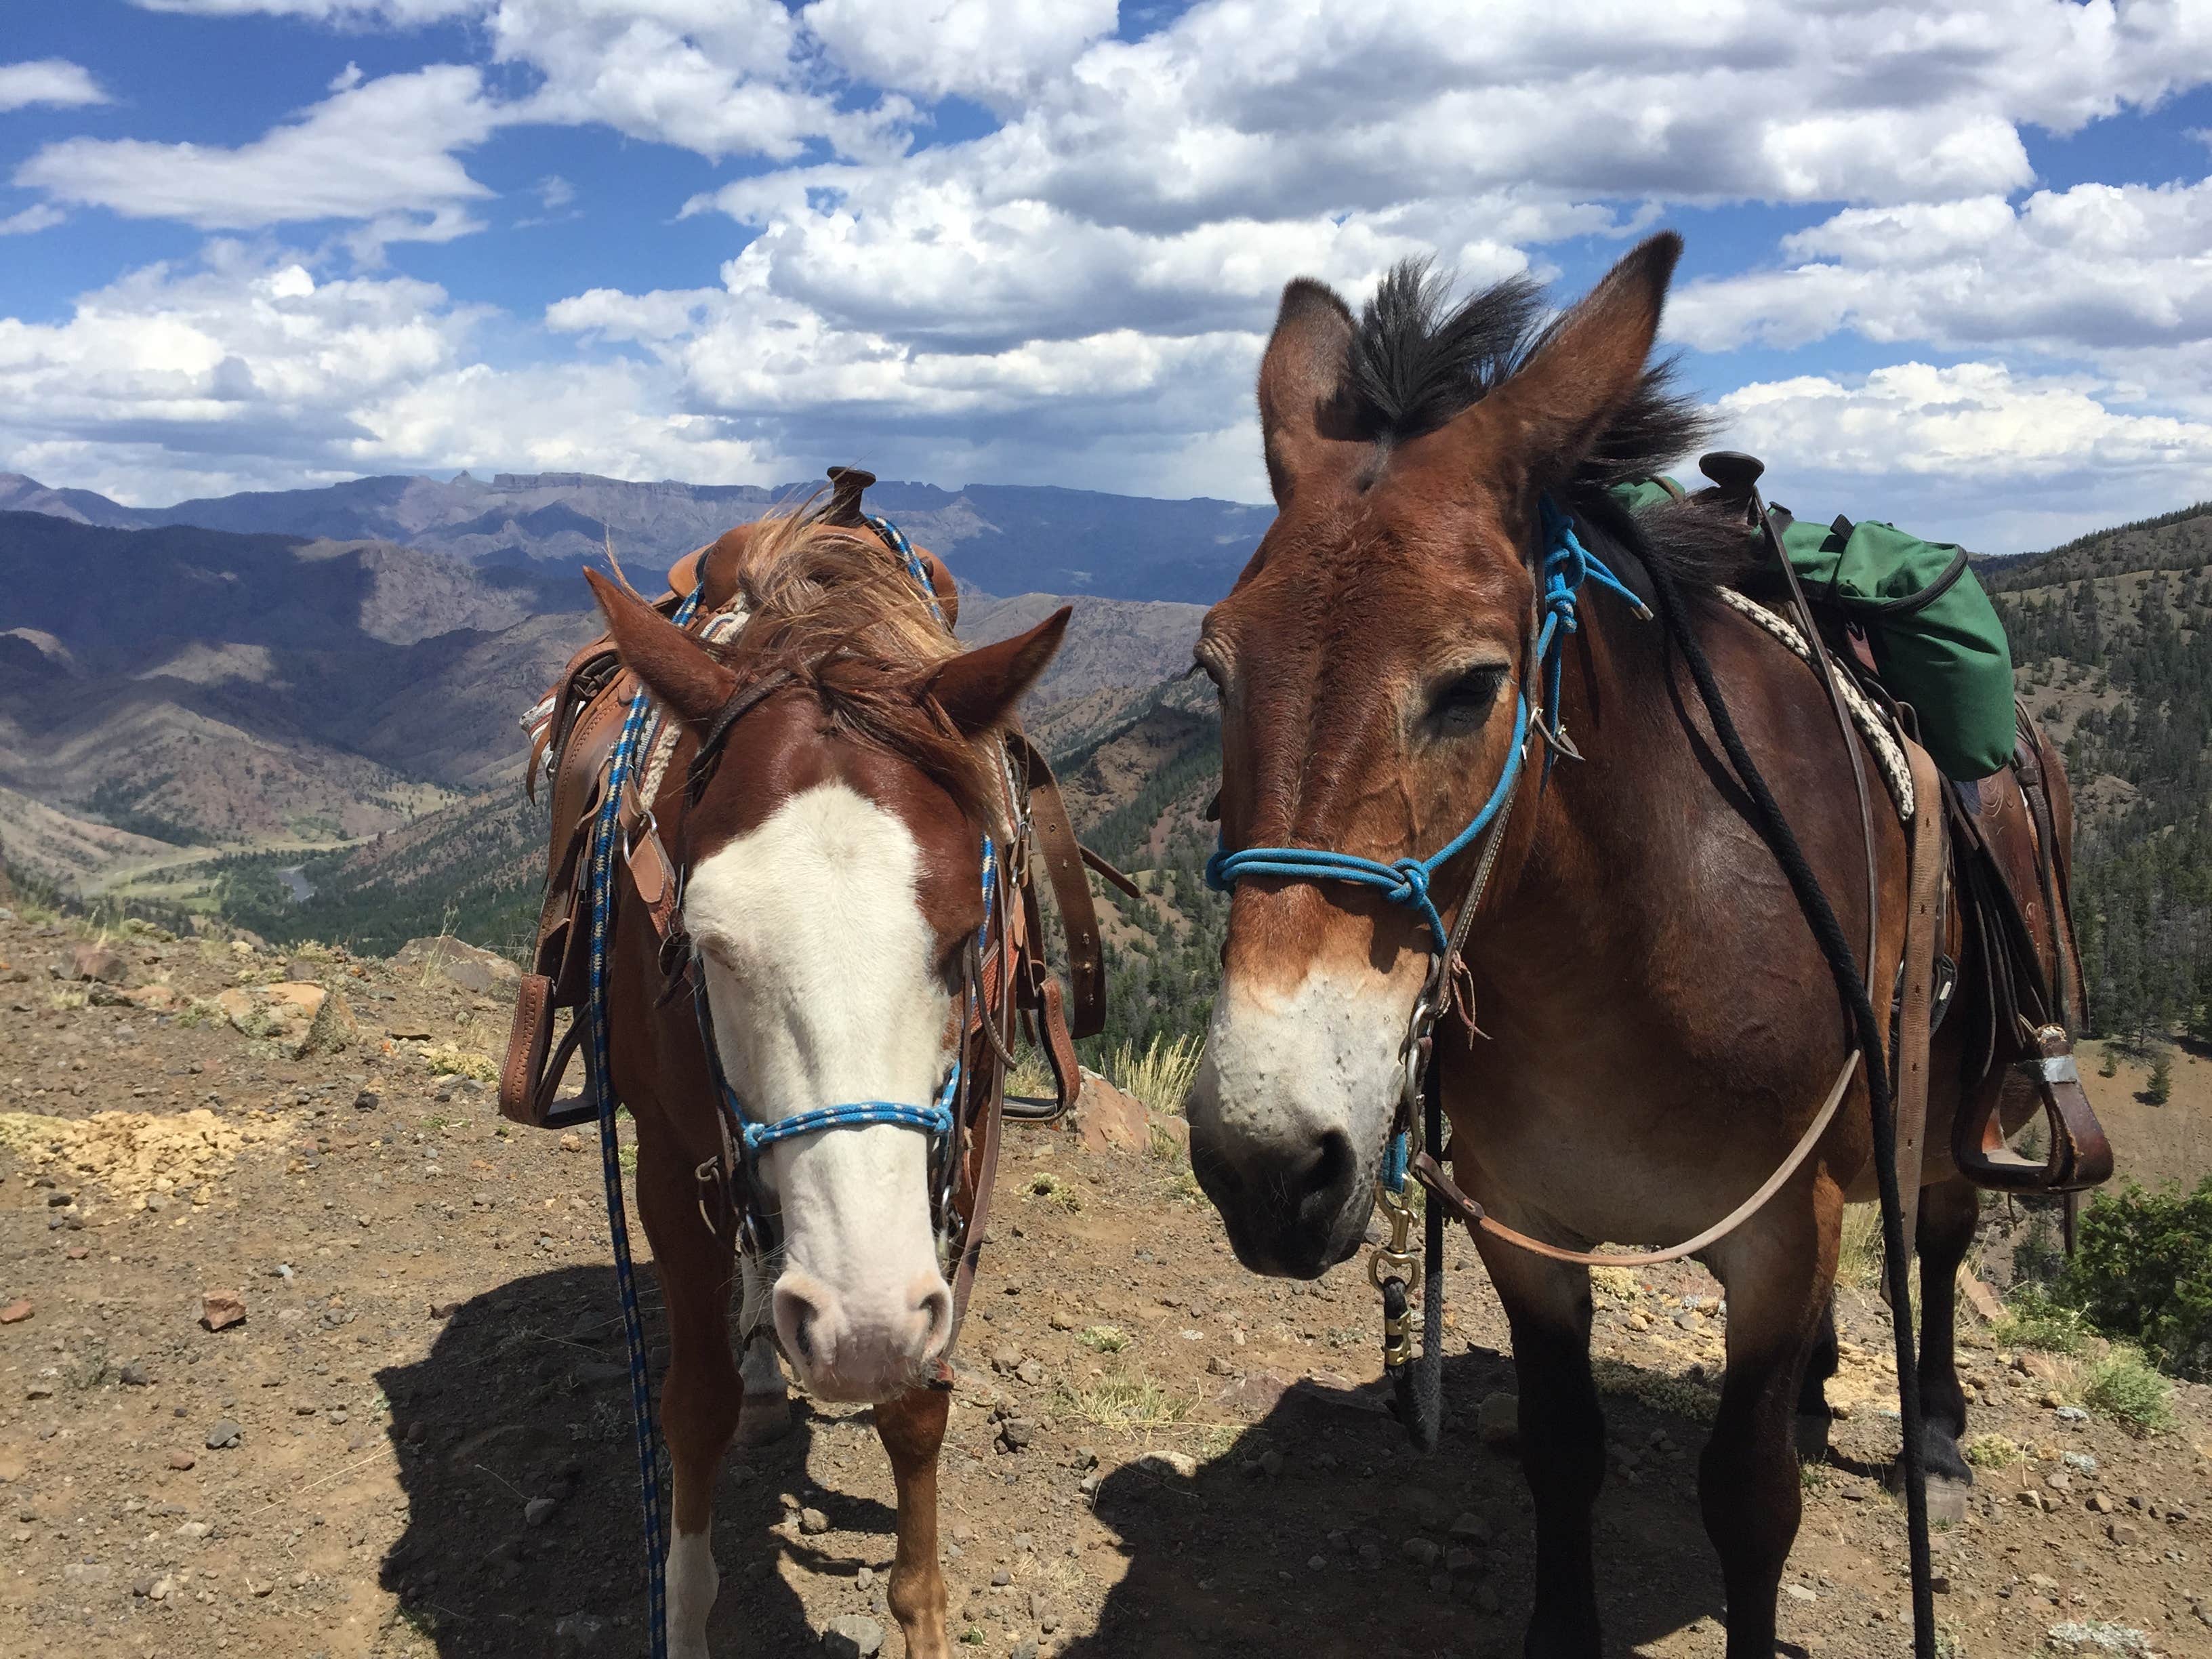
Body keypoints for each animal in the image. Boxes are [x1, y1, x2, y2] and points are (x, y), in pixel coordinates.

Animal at [579, 503, 1072, 1659]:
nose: (858, 1326)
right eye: (706, 943)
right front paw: (686, 1611)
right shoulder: (670, 1160)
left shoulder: (965, 1142)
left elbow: (919, 1400)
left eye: (965, 939)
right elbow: (695, 1404)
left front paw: (922, 1618)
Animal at [1184, 233, 2079, 1656]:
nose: (1265, 1165)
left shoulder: (1776, 1238)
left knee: (1935, 1236)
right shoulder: (1521, 1224)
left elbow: (1748, 1498)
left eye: (1471, 686)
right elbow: (1562, 1448)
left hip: (1965, 1091)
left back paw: (1930, 1426)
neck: (1617, 959)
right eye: (1212, 670)